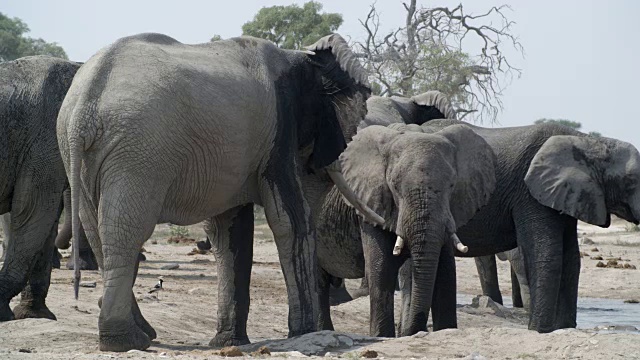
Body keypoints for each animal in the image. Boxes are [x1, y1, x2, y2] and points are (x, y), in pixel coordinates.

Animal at [55, 32, 382, 352]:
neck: (301, 56)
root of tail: (85, 106)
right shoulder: (280, 130)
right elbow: (289, 221)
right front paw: (304, 334)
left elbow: (229, 233)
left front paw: (229, 343)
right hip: (138, 150)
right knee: (126, 231)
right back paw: (126, 341)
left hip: (86, 153)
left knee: (99, 232)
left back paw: (137, 335)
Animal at [398, 119, 640, 334]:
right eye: (631, 182)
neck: (588, 142)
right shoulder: (529, 193)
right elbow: (547, 255)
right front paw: (539, 331)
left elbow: (572, 260)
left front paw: (565, 328)